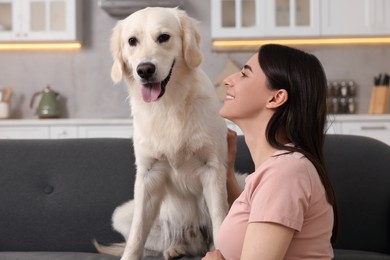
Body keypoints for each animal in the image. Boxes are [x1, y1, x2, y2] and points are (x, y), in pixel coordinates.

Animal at [98, 6, 229, 260]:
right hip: (122, 214)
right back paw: (175, 248)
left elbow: (220, 221)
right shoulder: (148, 174)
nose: (145, 69)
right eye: (132, 41)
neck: (169, 105)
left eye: (164, 37)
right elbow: (137, 233)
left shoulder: (213, 168)